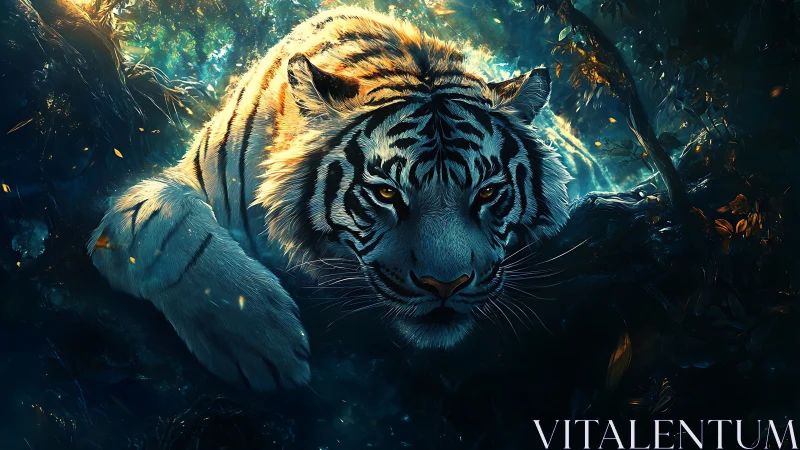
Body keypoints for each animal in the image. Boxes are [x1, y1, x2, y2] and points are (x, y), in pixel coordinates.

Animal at [88, 7, 570, 391]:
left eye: (487, 192)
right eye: (386, 192)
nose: (446, 286)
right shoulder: (174, 185)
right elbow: (169, 226)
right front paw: (260, 340)